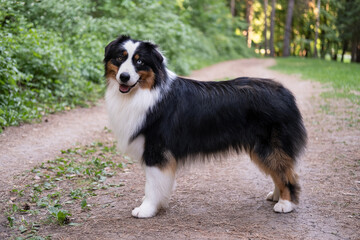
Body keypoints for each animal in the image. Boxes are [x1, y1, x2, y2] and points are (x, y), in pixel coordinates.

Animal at [103, 35, 306, 218]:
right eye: (120, 58)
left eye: (140, 61)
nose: (124, 77)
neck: (147, 91)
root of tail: (285, 92)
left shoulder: (156, 149)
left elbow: (152, 185)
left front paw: (146, 209)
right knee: (280, 171)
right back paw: (277, 196)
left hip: (269, 146)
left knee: (287, 174)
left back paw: (285, 204)